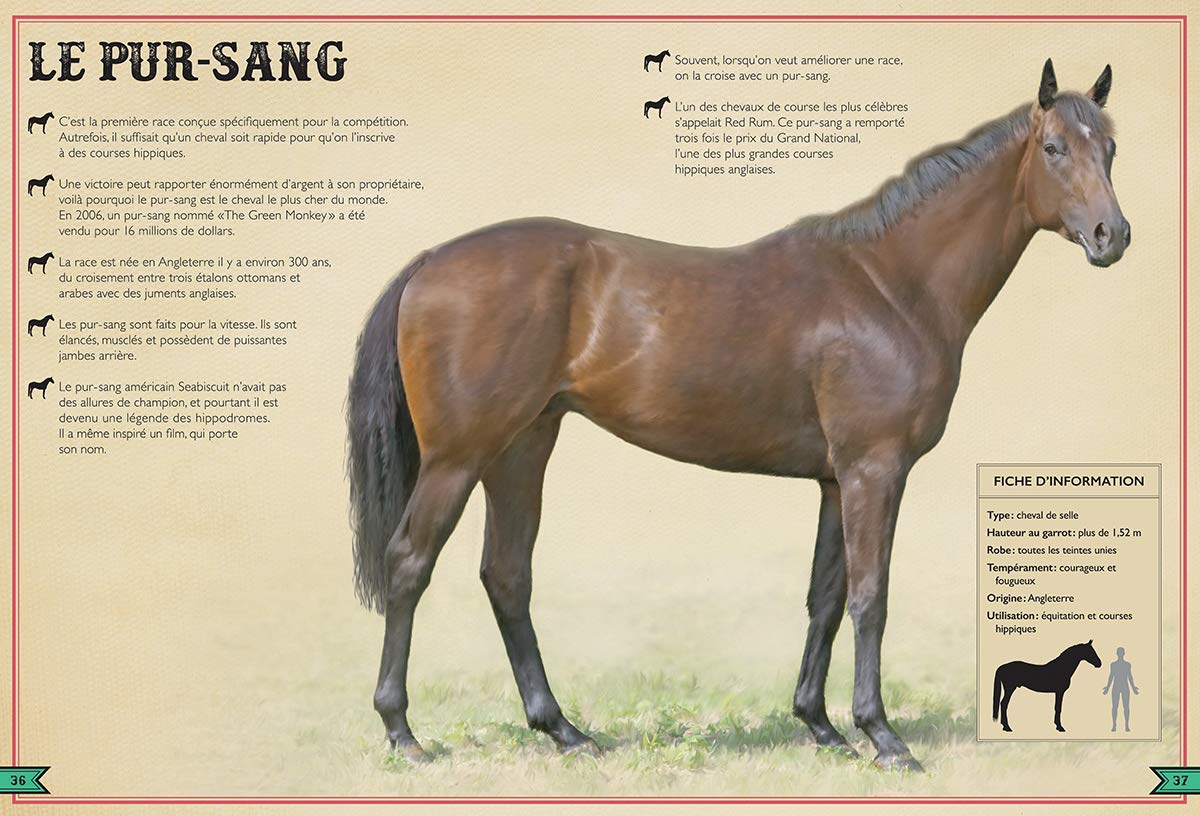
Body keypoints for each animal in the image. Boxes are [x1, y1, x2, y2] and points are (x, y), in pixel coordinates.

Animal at [347, 60, 1127, 771]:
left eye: (1111, 147)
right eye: (1054, 147)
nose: (1110, 235)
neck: (889, 284)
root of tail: (431, 261)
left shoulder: (837, 479)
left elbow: (826, 595)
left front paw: (821, 726)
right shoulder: (875, 469)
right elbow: (870, 596)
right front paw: (883, 737)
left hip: (521, 449)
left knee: (507, 575)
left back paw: (564, 731)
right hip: (459, 459)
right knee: (410, 564)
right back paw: (403, 734)